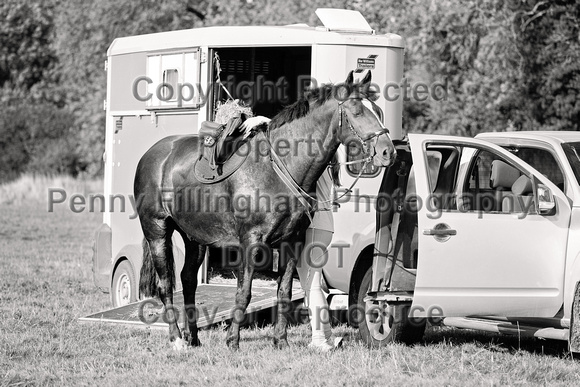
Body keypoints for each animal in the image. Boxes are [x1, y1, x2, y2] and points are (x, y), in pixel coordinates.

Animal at [134, 70, 396, 352]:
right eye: (357, 110)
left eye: (378, 111)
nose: (388, 152)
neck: (279, 169)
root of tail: (152, 154)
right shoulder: (251, 241)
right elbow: (244, 292)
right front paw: (233, 341)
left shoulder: (293, 241)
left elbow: (284, 291)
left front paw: (280, 340)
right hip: (157, 230)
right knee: (165, 285)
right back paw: (177, 339)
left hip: (194, 237)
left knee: (188, 280)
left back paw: (192, 337)